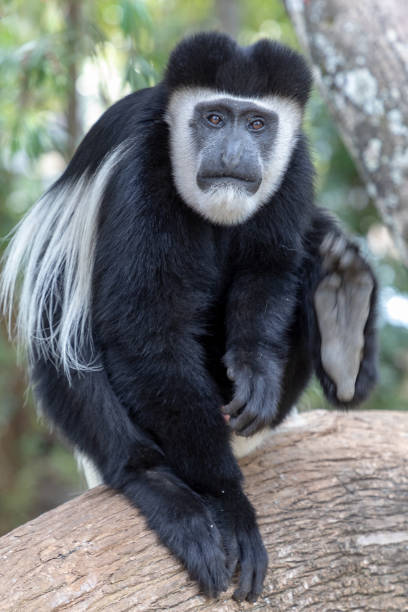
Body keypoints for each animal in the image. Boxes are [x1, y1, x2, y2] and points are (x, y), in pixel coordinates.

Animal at [0, 33, 378, 604]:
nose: (234, 154)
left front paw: (256, 376)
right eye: (215, 118)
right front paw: (228, 504)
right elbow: (145, 333)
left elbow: (269, 267)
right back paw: (160, 488)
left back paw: (344, 323)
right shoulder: (142, 172)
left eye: (257, 123)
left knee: (313, 243)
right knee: (73, 362)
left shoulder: (293, 166)